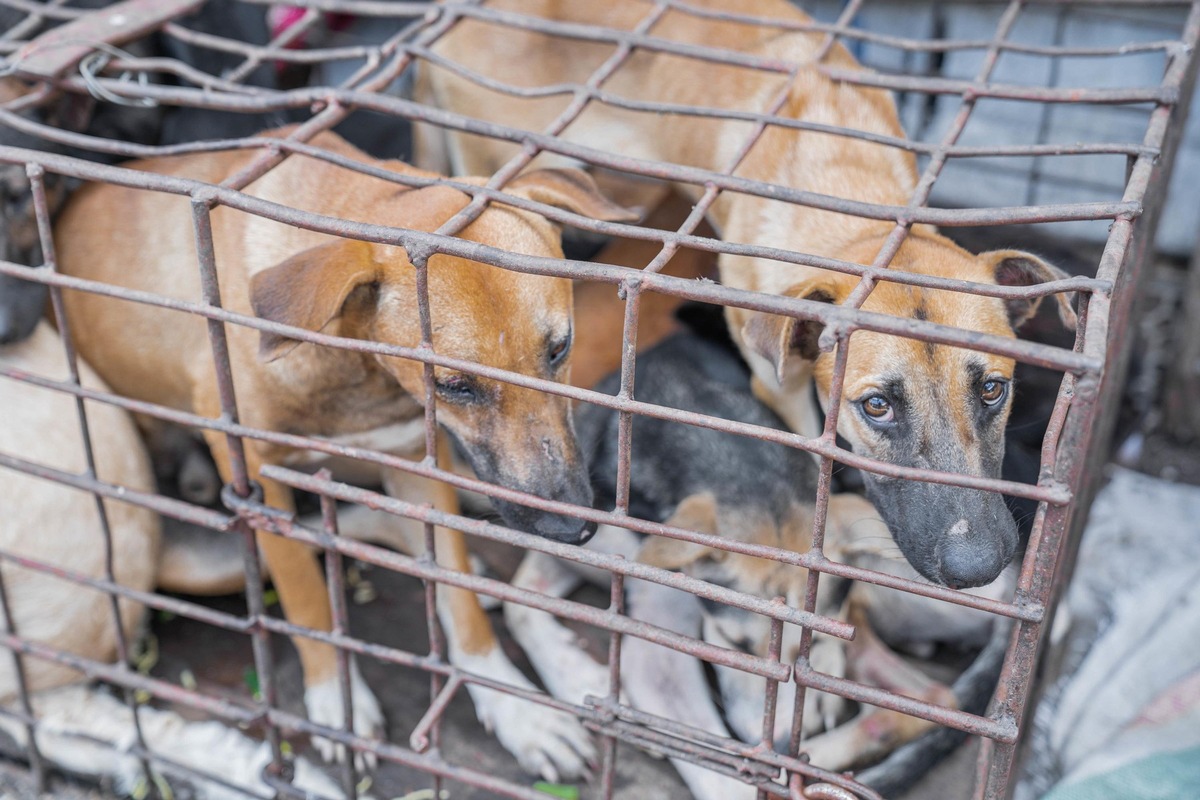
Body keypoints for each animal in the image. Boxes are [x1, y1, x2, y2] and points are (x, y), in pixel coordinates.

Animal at [54, 126, 638, 782]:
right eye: (455, 385)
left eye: (559, 349)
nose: (572, 529)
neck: (358, 372)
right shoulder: (255, 472)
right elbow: (306, 593)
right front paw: (338, 697)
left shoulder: (413, 461)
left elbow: (457, 595)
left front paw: (516, 709)